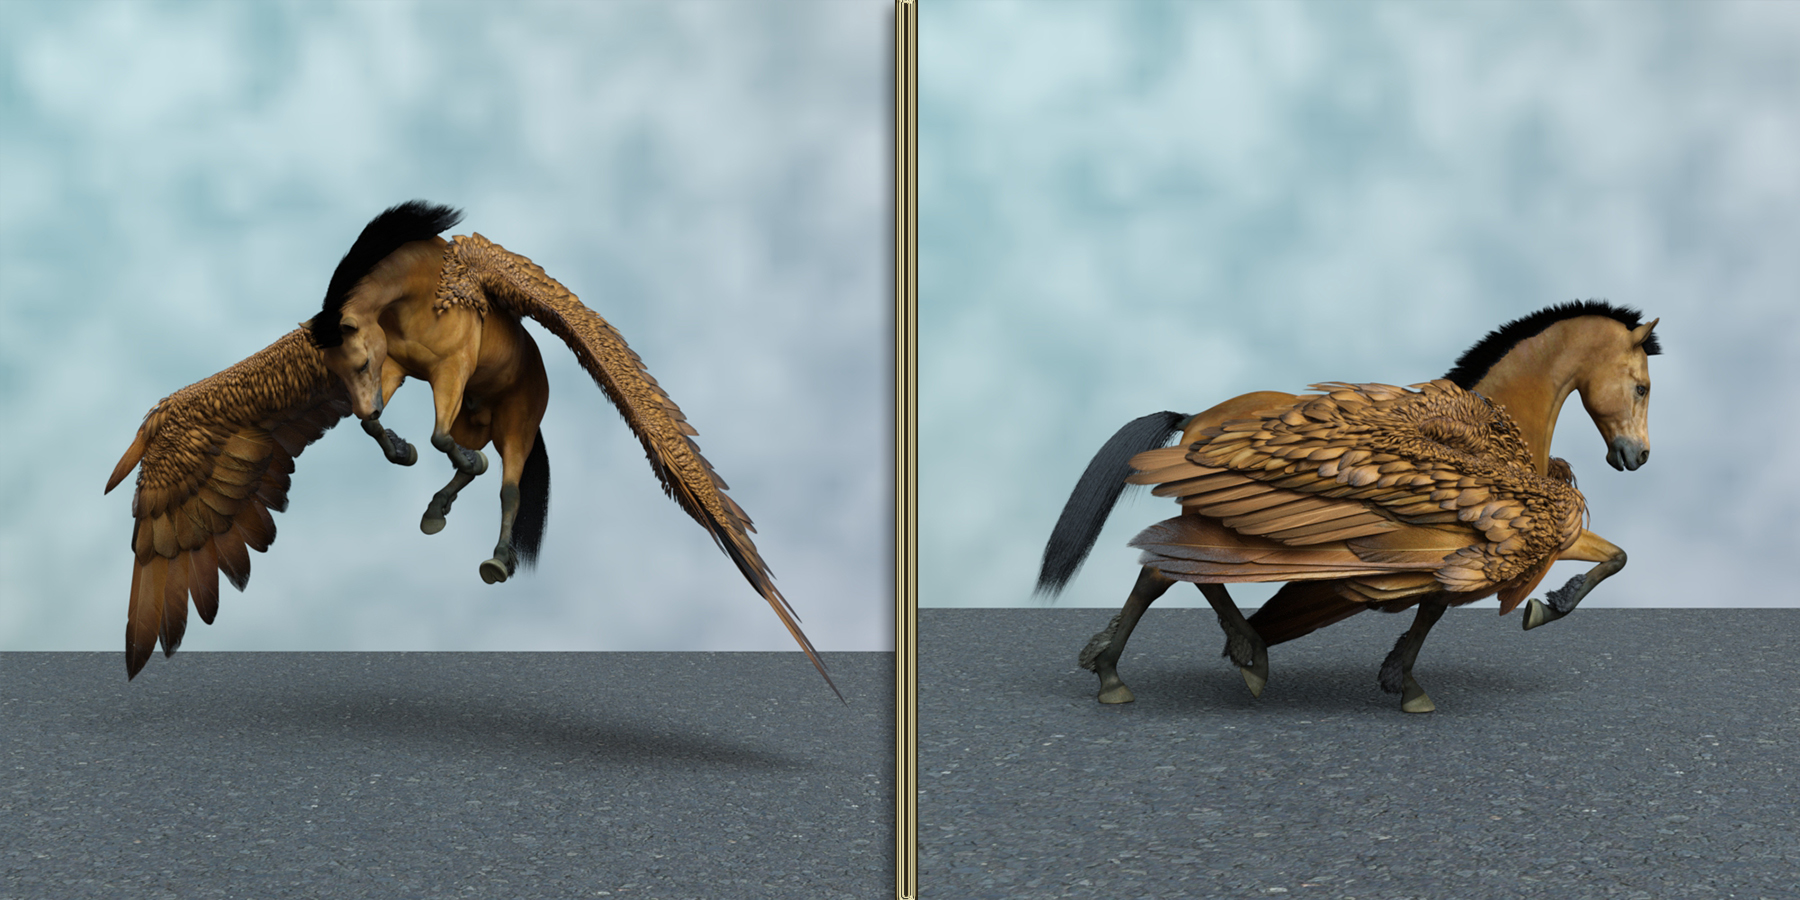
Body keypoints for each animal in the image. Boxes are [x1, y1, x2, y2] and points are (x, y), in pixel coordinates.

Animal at [106, 201, 839, 700]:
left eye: (354, 357)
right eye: (335, 374)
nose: (359, 401)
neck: (417, 289)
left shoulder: (443, 365)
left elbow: (434, 438)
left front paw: (418, 456)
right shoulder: (399, 371)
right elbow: (386, 433)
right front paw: (398, 449)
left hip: (516, 424)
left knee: (507, 481)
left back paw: (495, 556)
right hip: (475, 417)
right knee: (474, 465)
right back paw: (437, 505)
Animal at [1037, 301, 1659, 712]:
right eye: (1643, 387)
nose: (1638, 456)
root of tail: (1195, 420)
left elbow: (1610, 556)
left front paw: (1400, 676)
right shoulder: (1490, 536)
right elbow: (1445, 601)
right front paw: (1541, 609)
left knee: (1171, 576)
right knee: (1165, 574)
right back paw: (1161, 669)